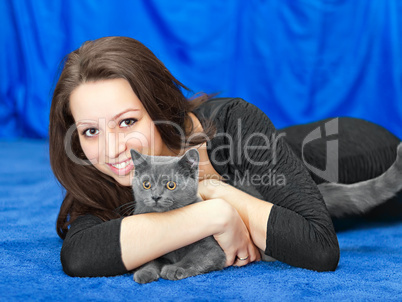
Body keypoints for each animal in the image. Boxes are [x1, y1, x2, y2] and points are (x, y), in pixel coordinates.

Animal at [130, 147, 226, 284]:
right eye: (146, 184)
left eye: (171, 185)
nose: (155, 196)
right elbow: (151, 260)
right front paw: (145, 272)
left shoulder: (211, 248)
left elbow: (194, 258)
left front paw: (173, 269)